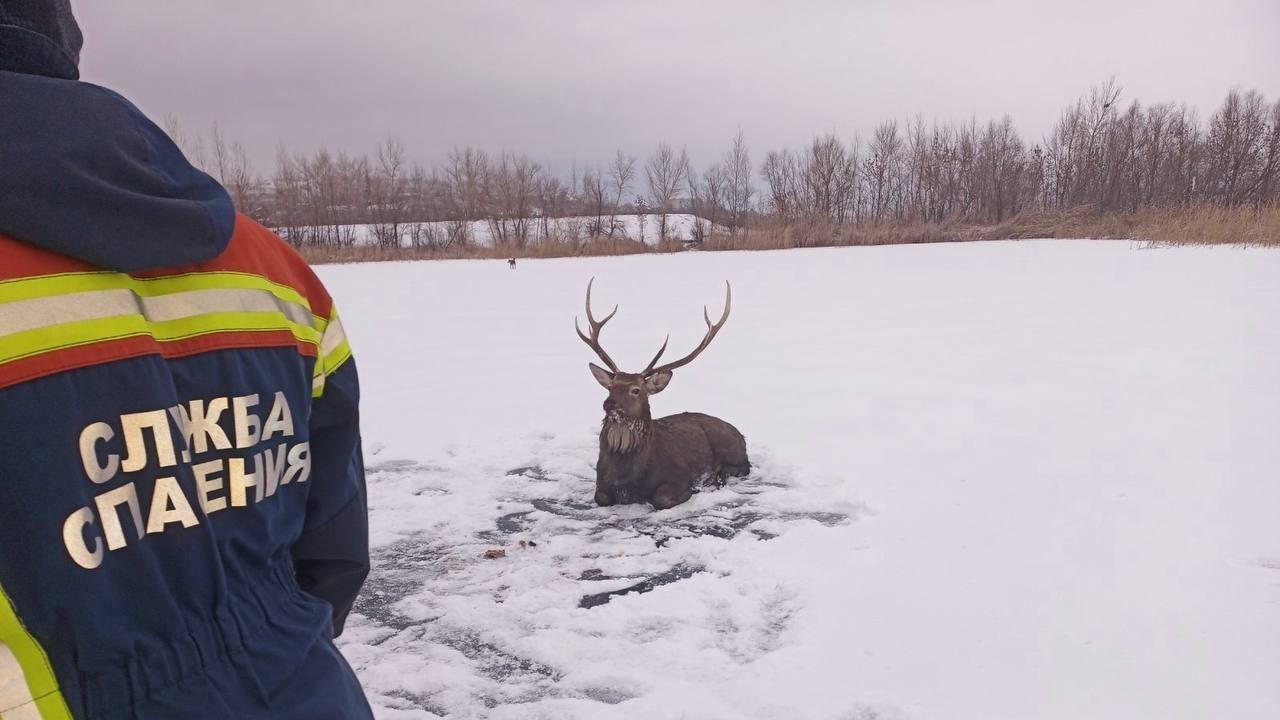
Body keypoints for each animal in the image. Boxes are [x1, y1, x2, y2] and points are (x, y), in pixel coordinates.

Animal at [573, 278, 747, 507]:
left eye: (636, 390)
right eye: (611, 386)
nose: (609, 404)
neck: (627, 474)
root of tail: (742, 435)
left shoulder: (679, 475)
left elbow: (661, 498)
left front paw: (692, 491)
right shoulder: (600, 482)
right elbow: (600, 497)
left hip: (732, 451)